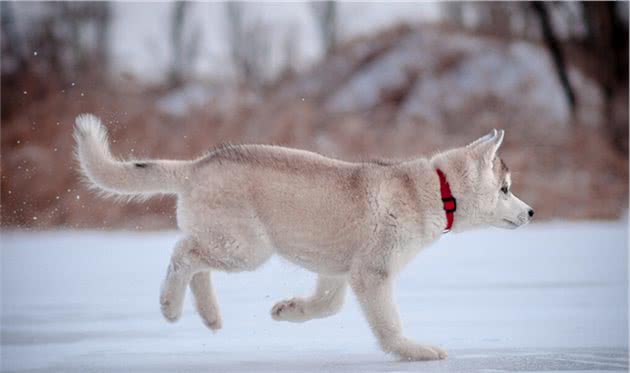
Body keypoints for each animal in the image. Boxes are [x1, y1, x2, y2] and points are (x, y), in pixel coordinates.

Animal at [76, 113, 536, 360]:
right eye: (505, 189)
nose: (531, 212)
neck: (436, 190)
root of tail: (197, 165)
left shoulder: (339, 270)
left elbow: (328, 305)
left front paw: (289, 311)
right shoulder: (372, 272)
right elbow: (387, 322)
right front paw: (413, 350)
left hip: (228, 240)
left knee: (196, 260)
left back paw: (209, 316)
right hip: (247, 248)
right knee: (183, 252)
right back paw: (170, 307)